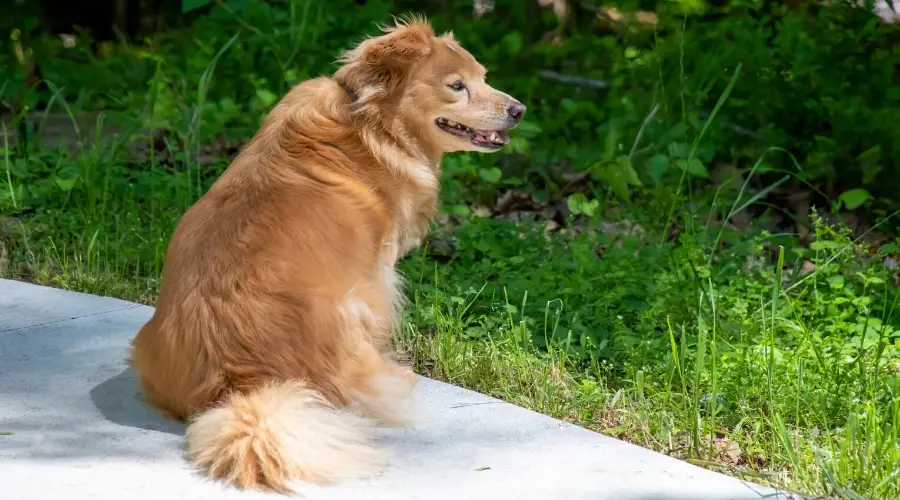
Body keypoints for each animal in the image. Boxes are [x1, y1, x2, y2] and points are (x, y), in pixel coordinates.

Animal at [129, 14, 524, 492]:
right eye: (456, 86)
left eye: (483, 77)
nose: (519, 110)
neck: (374, 124)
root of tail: (239, 382)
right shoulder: (377, 274)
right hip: (347, 309)